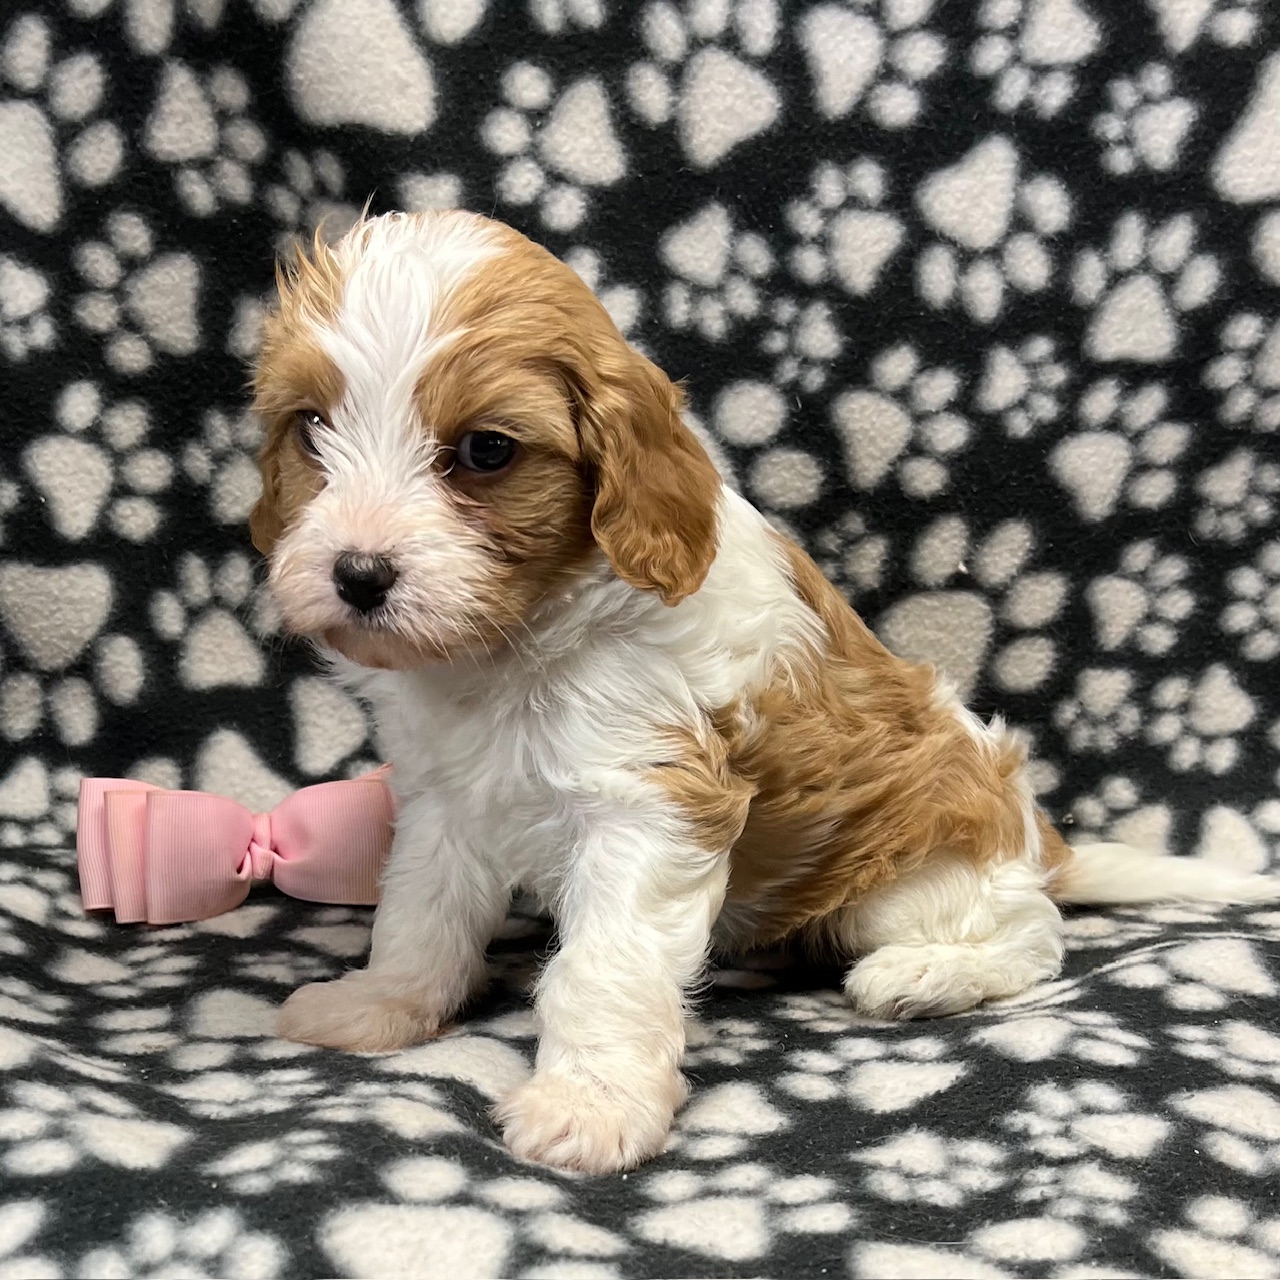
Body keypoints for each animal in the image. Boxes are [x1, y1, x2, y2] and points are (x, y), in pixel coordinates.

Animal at [249, 207, 1280, 1172]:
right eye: (313, 429)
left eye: (487, 451)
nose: (359, 575)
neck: (512, 649)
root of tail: (1038, 844)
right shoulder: (444, 802)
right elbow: (418, 917)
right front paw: (381, 1007)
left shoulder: (653, 804)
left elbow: (602, 967)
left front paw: (592, 1104)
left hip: (902, 880)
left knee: (1033, 933)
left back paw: (922, 978)